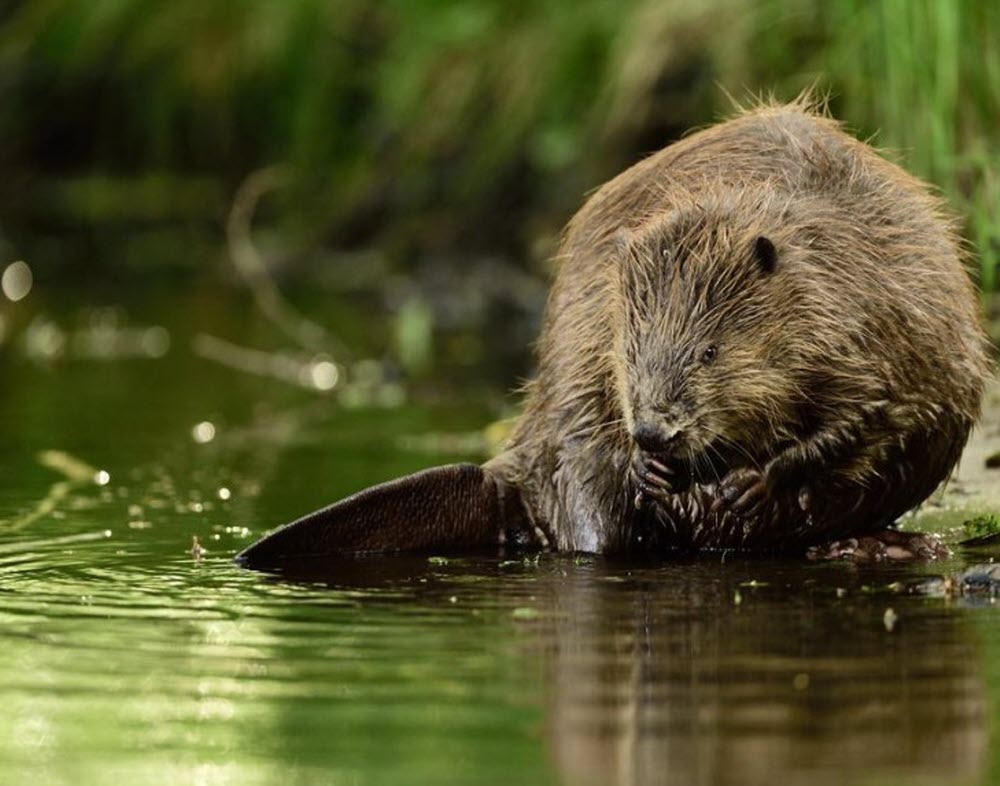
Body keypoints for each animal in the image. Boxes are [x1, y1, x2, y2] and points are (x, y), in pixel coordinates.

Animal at [236, 98, 992, 568]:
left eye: (709, 351)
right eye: (633, 352)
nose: (655, 432)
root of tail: (502, 474)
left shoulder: (874, 312)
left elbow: (875, 413)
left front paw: (752, 485)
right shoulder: (600, 323)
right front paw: (657, 472)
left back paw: (880, 545)